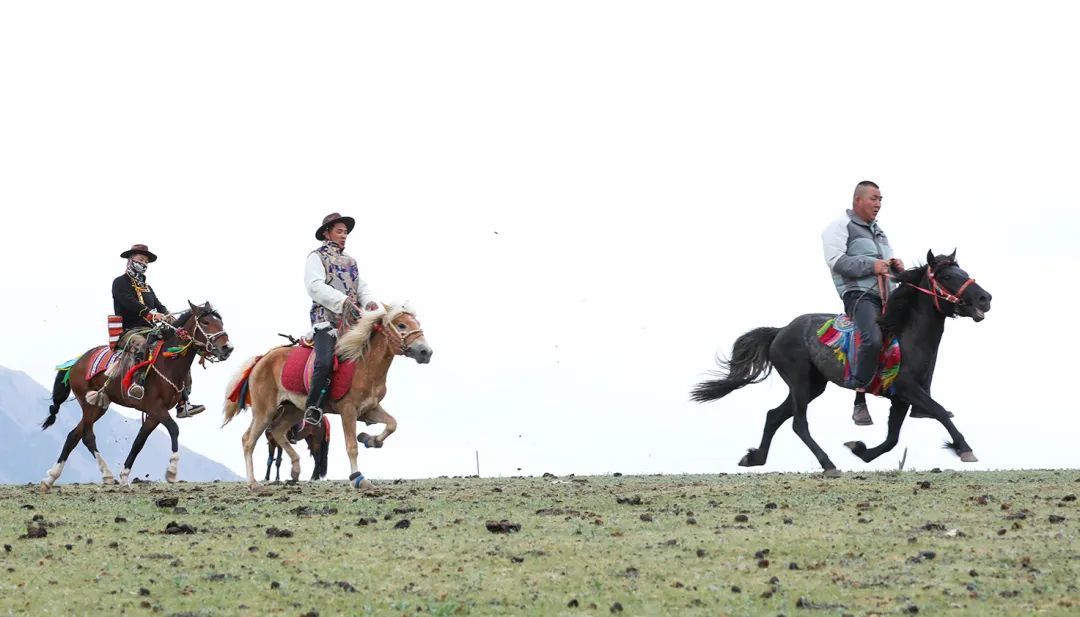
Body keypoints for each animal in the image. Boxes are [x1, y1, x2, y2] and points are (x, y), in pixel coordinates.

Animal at [40, 301, 233, 491]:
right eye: (206, 322)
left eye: (221, 322)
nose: (227, 348)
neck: (167, 362)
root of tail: (76, 362)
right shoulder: (156, 407)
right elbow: (174, 429)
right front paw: (172, 470)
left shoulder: (154, 414)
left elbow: (139, 441)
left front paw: (125, 476)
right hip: (88, 403)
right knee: (87, 437)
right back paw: (106, 474)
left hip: (99, 406)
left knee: (73, 435)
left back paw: (50, 478)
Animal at [223, 301, 432, 489]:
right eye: (402, 325)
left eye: (417, 323)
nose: (426, 352)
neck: (364, 365)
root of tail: (260, 360)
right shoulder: (348, 410)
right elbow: (351, 446)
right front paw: (358, 478)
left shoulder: (369, 409)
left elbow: (392, 424)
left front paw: (370, 439)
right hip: (264, 410)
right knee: (248, 440)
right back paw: (253, 483)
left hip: (295, 410)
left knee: (278, 431)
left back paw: (295, 469)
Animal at [691, 251, 992, 475]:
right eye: (947, 276)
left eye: (964, 272)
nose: (984, 298)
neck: (904, 334)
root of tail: (780, 331)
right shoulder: (906, 388)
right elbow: (939, 412)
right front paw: (965, 449)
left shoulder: (900, 397)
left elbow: (892, 438)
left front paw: (861, 449)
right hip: (800, 381)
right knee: (798, 424)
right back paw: (827, 464)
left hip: (813, 385)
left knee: (774, 415)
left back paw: (755, 458)